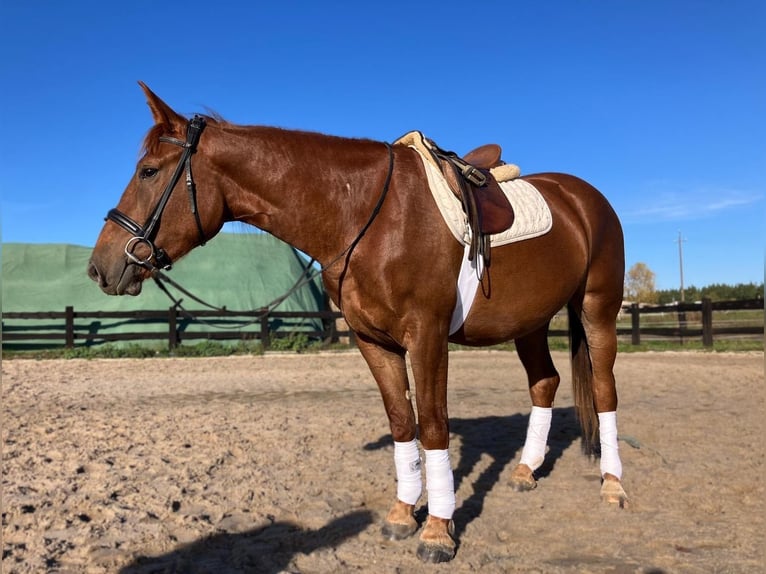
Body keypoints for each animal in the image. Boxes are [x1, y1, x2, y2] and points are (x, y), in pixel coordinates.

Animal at [88, 82, 628, 563]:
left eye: (148, 171)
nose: (100, 267)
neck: (369, 216)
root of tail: (584, 198)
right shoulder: (373, 341)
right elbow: (402, 421)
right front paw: (403, 514)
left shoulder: (427, 337)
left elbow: (434, 424)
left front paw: (437, 531)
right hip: (530, 323)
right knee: (545, 382)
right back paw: (525, 470)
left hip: (597, 310)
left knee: (603, 390)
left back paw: (613, 485)